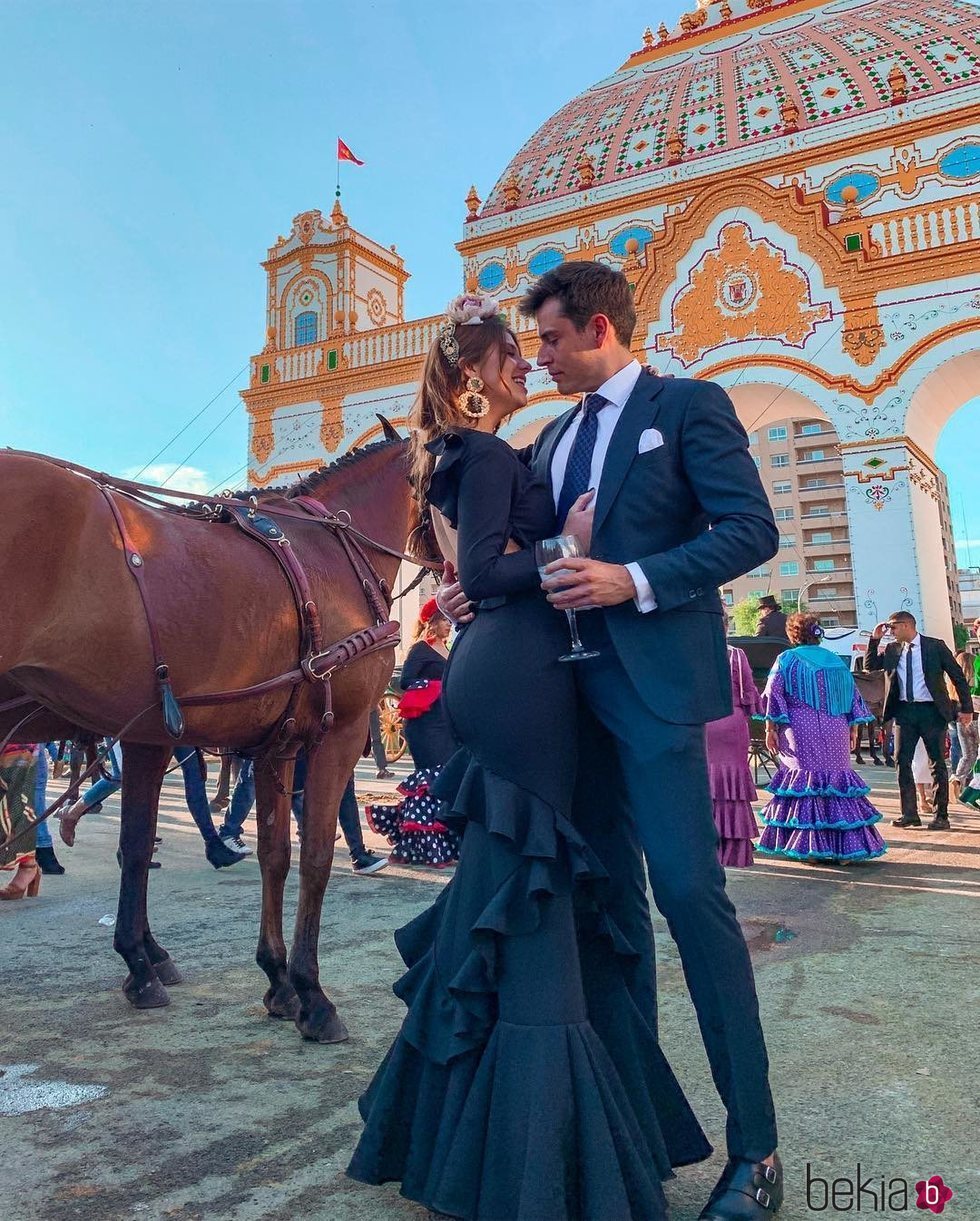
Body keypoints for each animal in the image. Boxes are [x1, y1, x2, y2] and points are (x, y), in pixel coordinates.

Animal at [0, 442, 412, 1040]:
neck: (328, 549)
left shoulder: (267, 743)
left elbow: (265, 853)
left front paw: (273, 977)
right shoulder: (341, 731)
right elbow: (314, 856)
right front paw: (312, 994)